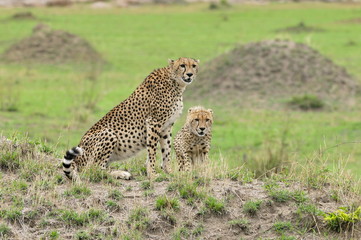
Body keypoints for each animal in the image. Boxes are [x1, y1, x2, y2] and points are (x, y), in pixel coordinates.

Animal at [64, 57, 200, 179]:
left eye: (193, 66)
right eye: (182, 65)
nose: (190, 74)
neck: (175, 82)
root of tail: (77, 159)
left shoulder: (167, 126)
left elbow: (166, 149)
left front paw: (169, 172)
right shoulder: (154, 122)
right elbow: (152, 150)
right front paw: (152, 173)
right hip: (109, 133)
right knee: (92, 169)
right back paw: (121, 174)